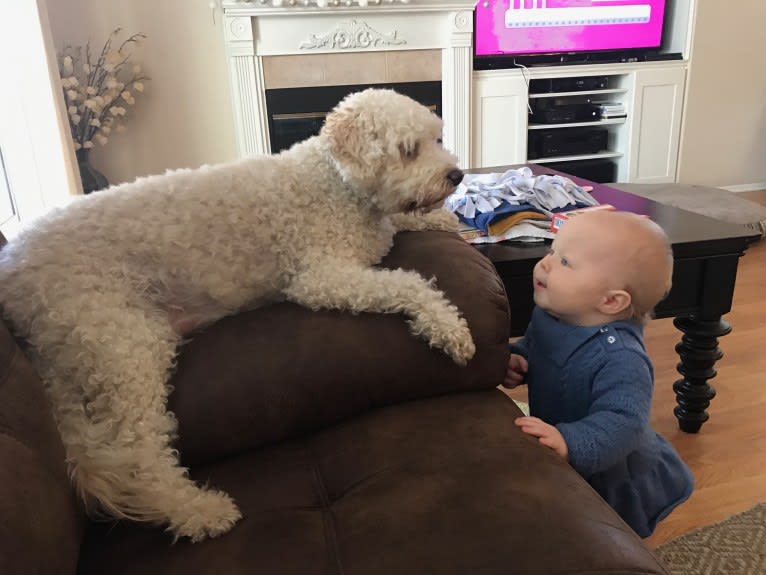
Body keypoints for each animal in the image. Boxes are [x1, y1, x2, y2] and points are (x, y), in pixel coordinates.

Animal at [0, 90, 474, 544]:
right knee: (140, 454)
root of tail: (14, 273)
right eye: (409, 150)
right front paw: (447, 325)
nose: (457, 176)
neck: (335, 182)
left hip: (80, 350)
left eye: (437, 138)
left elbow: (406, 223)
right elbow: (408, 284)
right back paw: (197, 511)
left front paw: (447, 220)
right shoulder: (322, 278)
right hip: (122, 343)